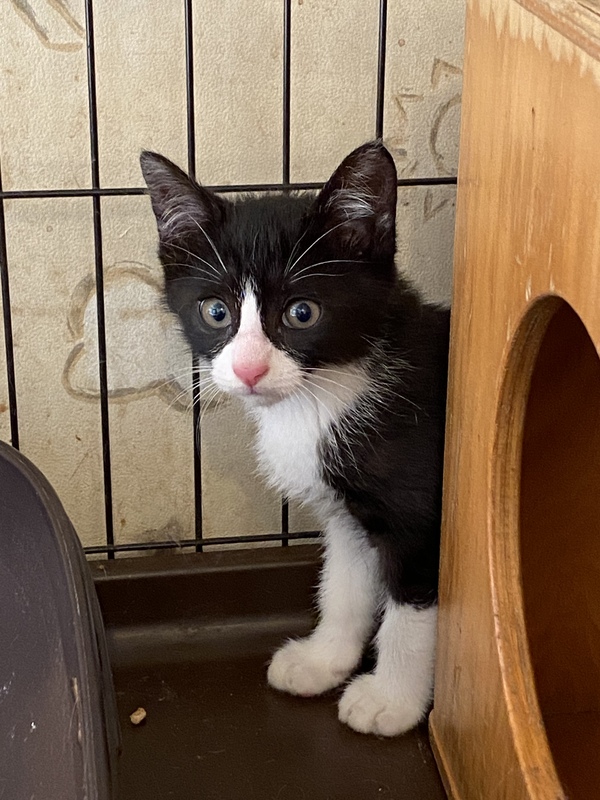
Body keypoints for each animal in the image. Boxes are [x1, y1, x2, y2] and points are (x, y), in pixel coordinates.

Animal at [140, 141, 449, 736]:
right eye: (216, 311)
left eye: (301, 313)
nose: (249, 369)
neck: (321, 397)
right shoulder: (347, 513)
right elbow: (344, 584)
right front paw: (324, 660)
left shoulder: (421, 513)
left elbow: (411, 611)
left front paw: (392, 700)